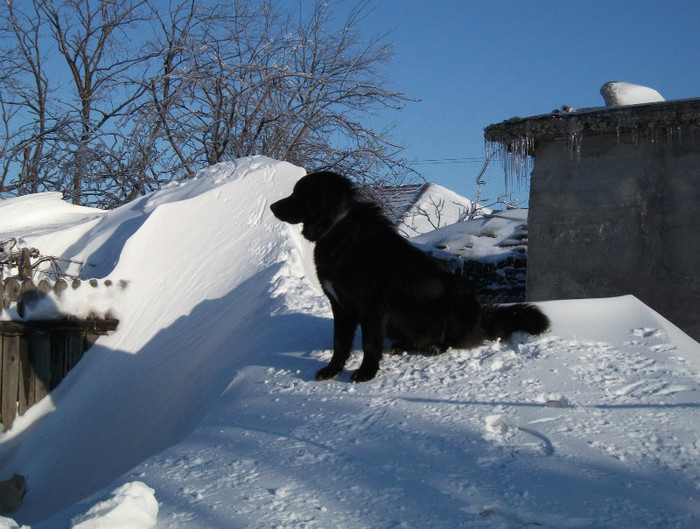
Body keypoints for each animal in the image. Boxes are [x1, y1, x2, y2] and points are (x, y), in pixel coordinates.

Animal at [270, 171, 548, 382]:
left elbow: (369, 344)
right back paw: (403, 345)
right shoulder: (340, 306)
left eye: (299, 194)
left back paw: (435, 347)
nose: (272, 206)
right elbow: (340, 344)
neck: (338, 228)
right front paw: (331, 371)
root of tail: (480, 318)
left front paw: (366, 373)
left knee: (449, 338)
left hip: (459, 295)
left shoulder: (371, 308)